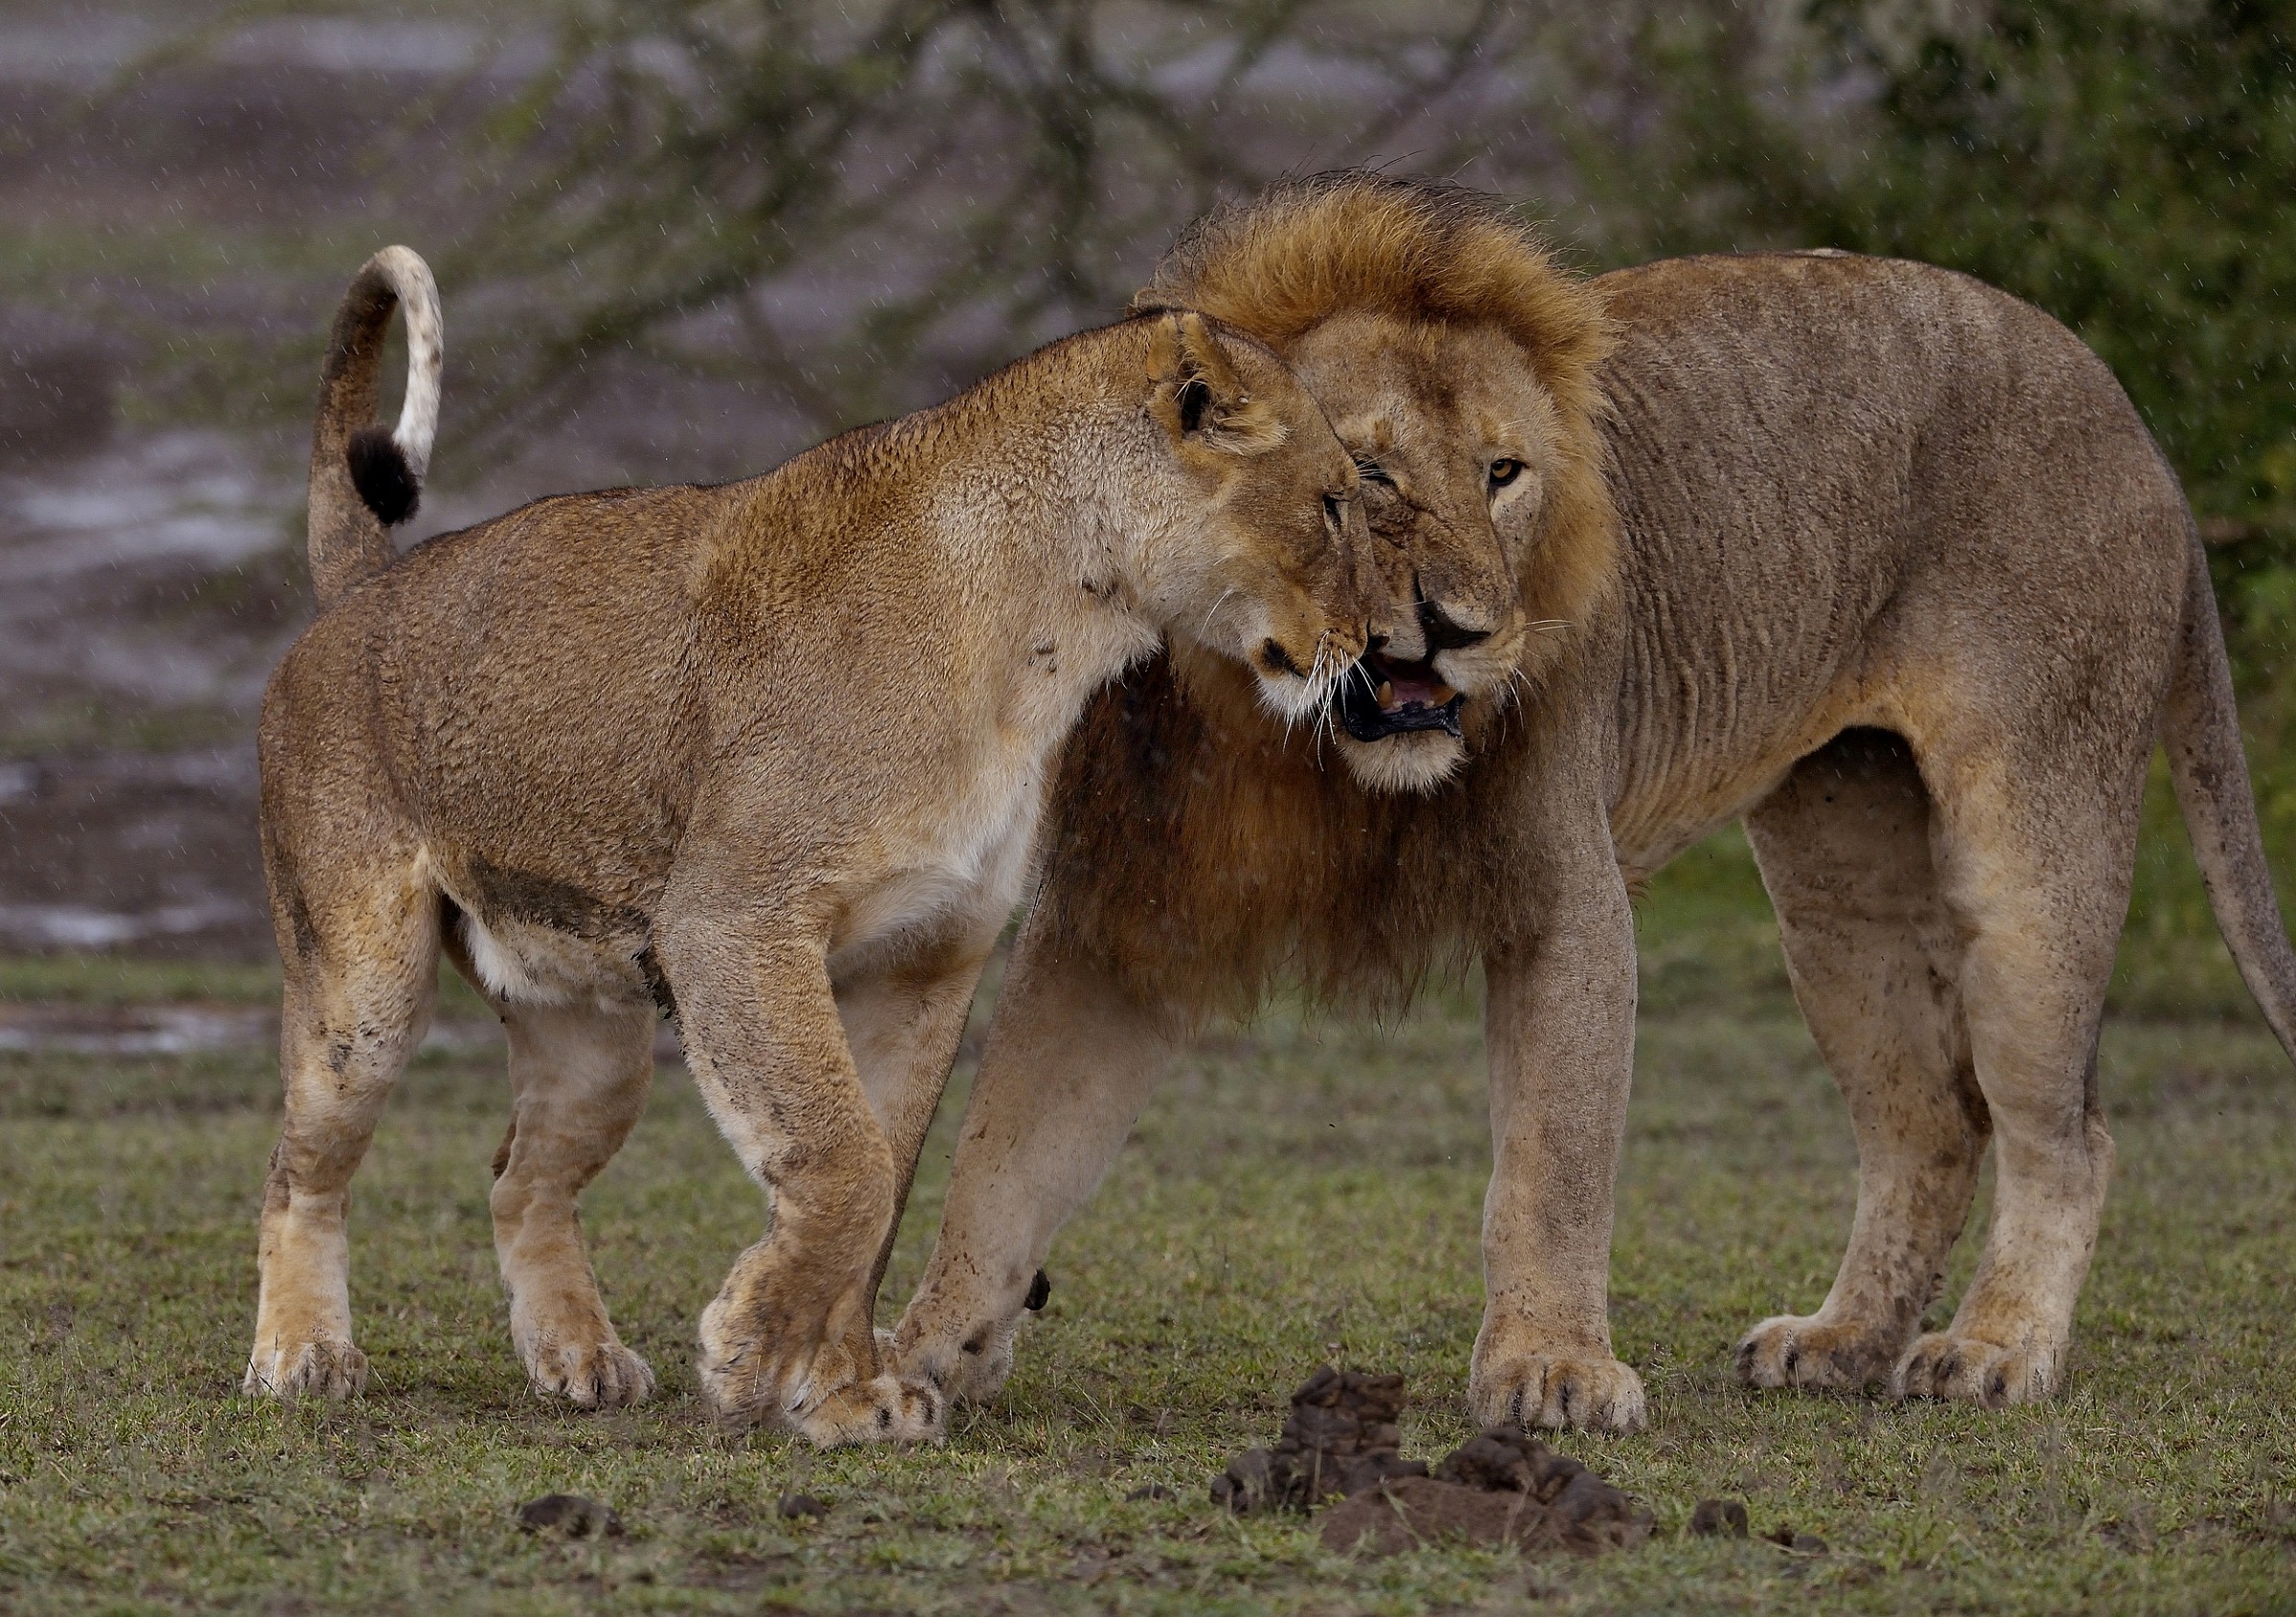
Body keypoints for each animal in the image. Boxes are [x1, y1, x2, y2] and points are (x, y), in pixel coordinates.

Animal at [244, 246, 1372, 1443]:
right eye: (1334, 504)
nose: (1377, 642)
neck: (1050, 636)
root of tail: (368, 584)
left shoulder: (926, 952)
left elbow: (883, 1178)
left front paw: (842, 1395)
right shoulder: (731, 918)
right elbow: (844, 1162)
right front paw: (753, 1354)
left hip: (592, 1035)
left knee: (518, 1177)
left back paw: (580, 1358)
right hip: (362, 992)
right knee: (298, 1167)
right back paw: (303, 1356)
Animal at [887, 175, 2296, 1431]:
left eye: (1505, 473)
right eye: (1370, 477)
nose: (1462, 629)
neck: (1283, 731)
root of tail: (2130, 414)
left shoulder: (1562, 892)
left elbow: (1551, 1164)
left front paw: (1552, 1367)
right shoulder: (1125, 912)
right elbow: (1003, 1142)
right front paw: (925, 1348)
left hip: (2036, 838)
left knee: (2065, 1126)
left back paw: (1997, 1347)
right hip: (1840, 881)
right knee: (1930, 1117)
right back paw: (1843, 1340)